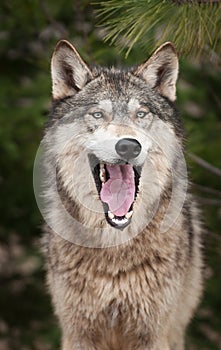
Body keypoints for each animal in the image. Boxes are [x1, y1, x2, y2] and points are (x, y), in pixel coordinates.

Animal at [40, 40, 203, 350]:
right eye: (97, 115)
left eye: (141, 114)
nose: (128, 146)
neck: (114, 247)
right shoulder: (78, 333)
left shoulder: (152, 334)